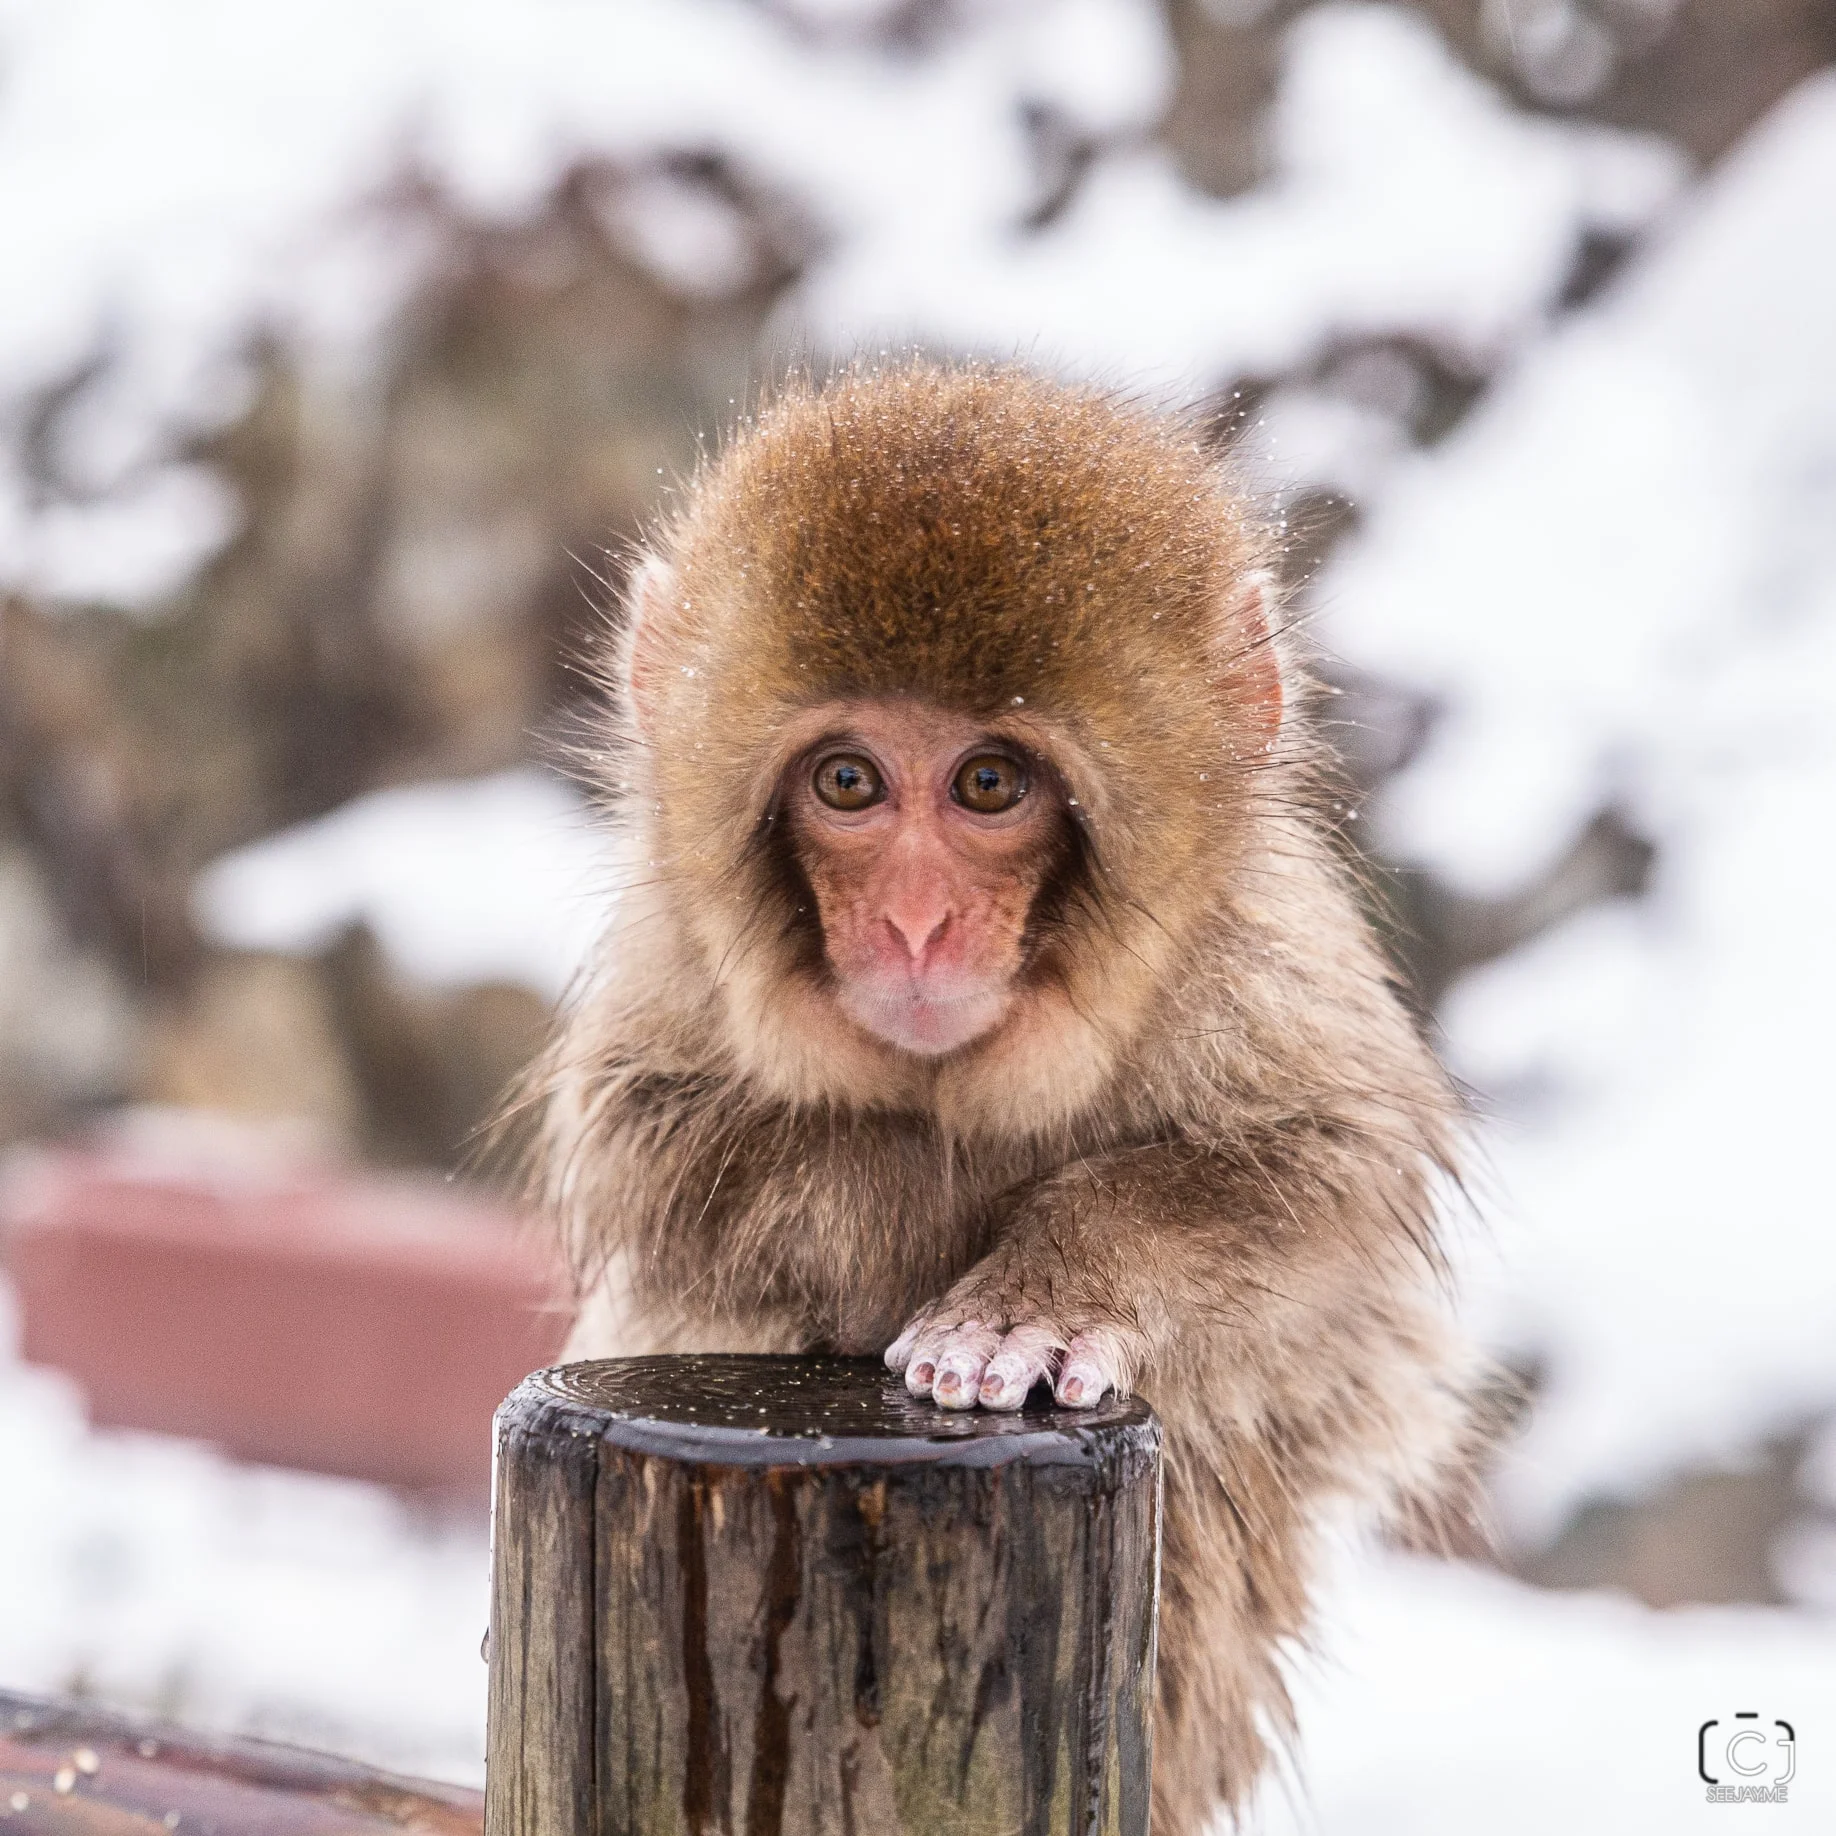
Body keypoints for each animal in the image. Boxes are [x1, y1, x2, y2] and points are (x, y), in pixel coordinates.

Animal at [524, 362, 1484, 1831]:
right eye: (848, 781)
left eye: (990, 783)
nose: (917, 925)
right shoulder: (674, 959)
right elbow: (654, 1145)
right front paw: (932, 1213)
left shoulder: (1253, 956)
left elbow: (1335, 1185)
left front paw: (1038, 1288)